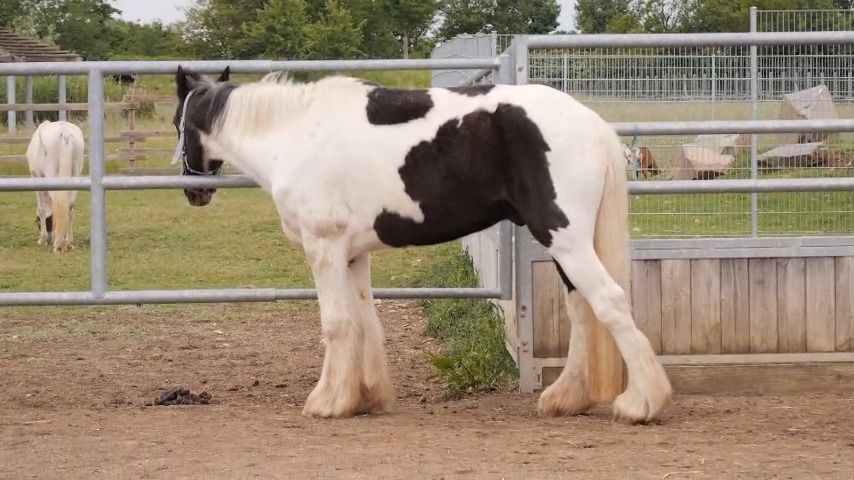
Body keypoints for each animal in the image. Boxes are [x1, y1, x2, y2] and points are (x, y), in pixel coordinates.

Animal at [25, 120, 86, 252]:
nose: (48, 239)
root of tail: (65, 132)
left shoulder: (36, 177)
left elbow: (42, 209)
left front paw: (42, 239)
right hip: (75, 173)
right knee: (70, 205)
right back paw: (68, 242)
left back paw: (58, 243)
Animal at [172, 66, 672, 424]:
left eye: (178, 123)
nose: (193, 192)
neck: (295, 137)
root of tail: (592, 124)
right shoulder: (353, 254)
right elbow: (365, 321)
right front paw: (366, 397)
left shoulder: (324, 249)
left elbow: (337, 324)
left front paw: (327, 401)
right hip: (567, 243)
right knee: (582, 309)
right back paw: (566, 398)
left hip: (563, 236)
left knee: (609, 301)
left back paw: (641, 404)